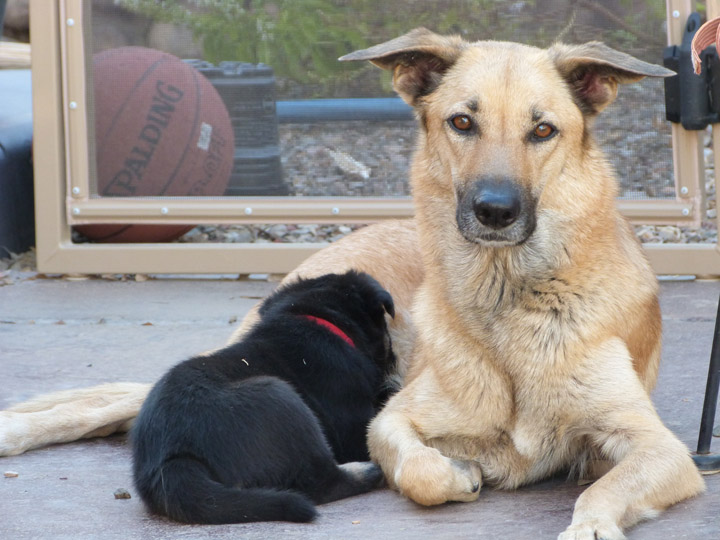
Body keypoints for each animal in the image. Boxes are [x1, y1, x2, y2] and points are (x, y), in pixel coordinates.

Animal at [132, 272, 396, 524]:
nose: (394, 362)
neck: (317, 318)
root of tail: (172, 458)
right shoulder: (354, 427)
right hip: (280, 396)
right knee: (320, 482)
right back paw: (369, 473)